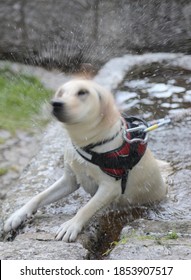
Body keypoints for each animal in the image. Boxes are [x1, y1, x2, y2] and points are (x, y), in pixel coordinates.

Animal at [3, 80, 167, 242]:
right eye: (61, 92)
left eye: (83, 92)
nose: (56, 103)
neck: (88, 143)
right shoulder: (69, 180)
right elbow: (39, 196)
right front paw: (18, 215)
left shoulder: (110, 187)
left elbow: (87, 208)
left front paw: (71, 225)